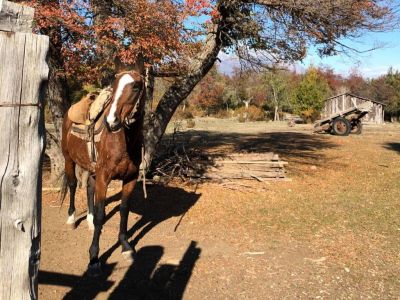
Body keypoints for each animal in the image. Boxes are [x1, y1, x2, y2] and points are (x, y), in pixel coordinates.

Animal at [61, 67, 145, 276]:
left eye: (136, 86)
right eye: (114, 86)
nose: (111, 121)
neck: (123, 142)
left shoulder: (130, 179)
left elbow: (124, 210)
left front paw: (125, 246)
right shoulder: (104, 178)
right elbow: (101, 215)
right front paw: (94, 257)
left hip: (91, 169)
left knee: (89, 188)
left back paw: (89, 221)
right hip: (68, 159)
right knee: (73, 185)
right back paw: (72, 218)